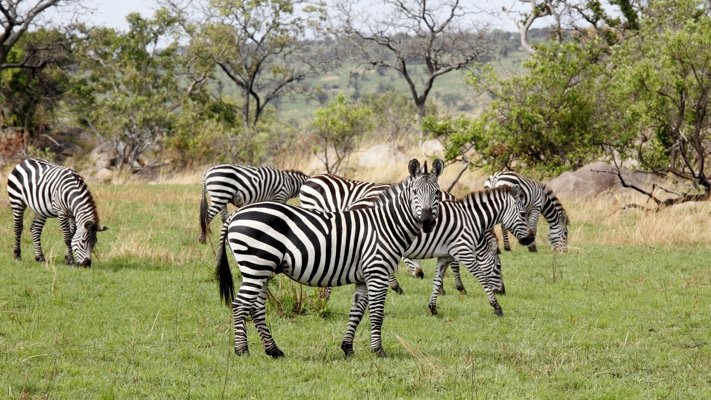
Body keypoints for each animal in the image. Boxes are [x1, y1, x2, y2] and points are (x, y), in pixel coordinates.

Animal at [214, 158, 442, 358]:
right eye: (414, 192)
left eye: (437, 193)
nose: (427, 222)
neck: (384, 225)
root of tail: (235, 216)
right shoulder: (377, 272)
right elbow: (377, 314)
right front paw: (378, 351)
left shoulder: (364, 277)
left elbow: (357, 312)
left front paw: (347, 348)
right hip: (256, 266)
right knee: (240, 305)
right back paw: (242, 350)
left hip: (261, 270)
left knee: (256, 307)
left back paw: (273, 350)